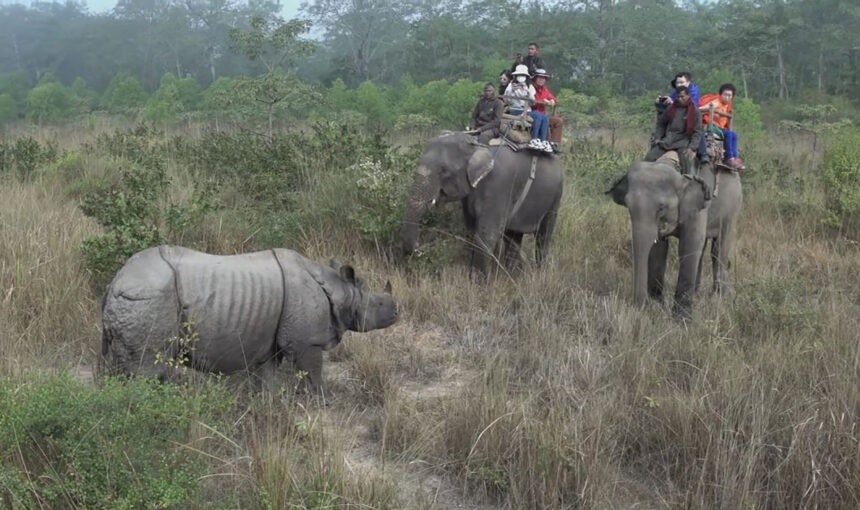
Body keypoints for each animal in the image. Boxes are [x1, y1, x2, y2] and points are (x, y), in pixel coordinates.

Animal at [101, 245, 400, 392]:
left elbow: (268, 375)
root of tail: (115, 282)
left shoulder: (271, 341)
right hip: (147, 297)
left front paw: (269, 402)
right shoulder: (307, 341)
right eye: (379, 303)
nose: (397, 313)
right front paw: (322, 401)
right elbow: (313, 373)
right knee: (147, 370)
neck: (339, 290)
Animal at [402, 131, 564, 274]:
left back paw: (541, 272)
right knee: (514, 237)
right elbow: (471, 230)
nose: (420, 248)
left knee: (543, 236)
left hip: (556, 195)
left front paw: (480, 284)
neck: (476, 144)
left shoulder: (500, 185)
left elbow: (486, 235)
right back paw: (512, 273)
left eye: (444, 171)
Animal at [608, 161, 744, 316]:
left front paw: (682, 317)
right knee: (703, 250)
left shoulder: (699, 204)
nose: (641, 307)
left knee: (719, 248)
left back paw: (720, 296)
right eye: (628, 206)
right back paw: (696, 293)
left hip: (733, 208)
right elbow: (659, 249)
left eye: (661, 207)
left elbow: (689, 245)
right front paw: (658, 305)